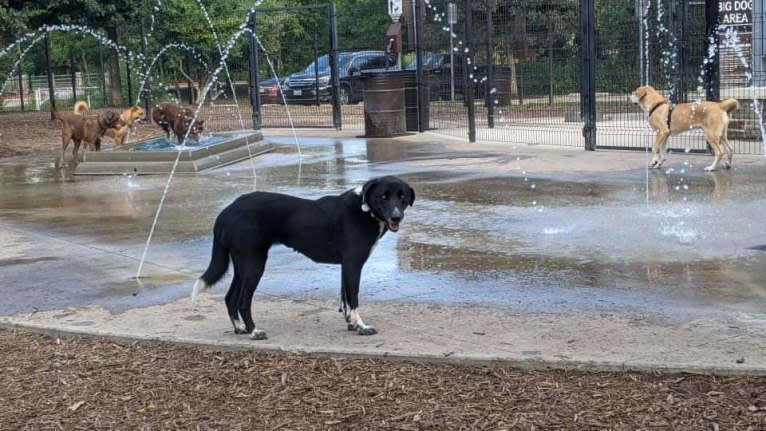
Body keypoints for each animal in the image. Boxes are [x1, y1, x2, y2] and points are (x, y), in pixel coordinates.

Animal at [195, 177, 416, 340]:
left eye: (402, 197)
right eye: (383, 197)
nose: (397, 217)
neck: (365, 211)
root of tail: (227, 211)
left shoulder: (346, 266)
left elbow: (345, 297)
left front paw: (352, 324)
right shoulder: (353, 265)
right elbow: (353, 299)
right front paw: (362, 326)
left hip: (242, 264)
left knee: (230, 297)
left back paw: (239, 328)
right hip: (254, 264)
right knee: (242, 301)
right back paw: (254, 331)